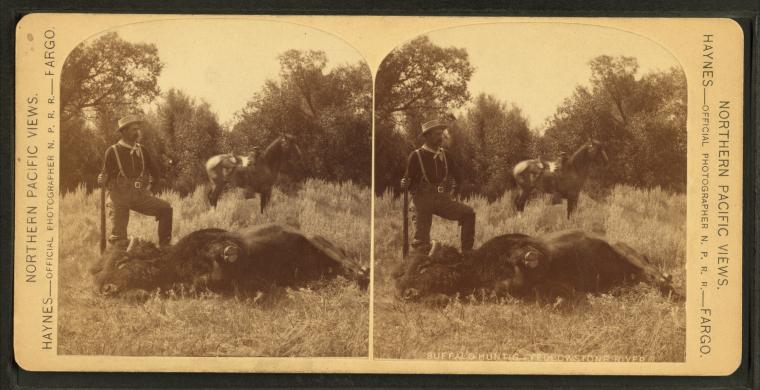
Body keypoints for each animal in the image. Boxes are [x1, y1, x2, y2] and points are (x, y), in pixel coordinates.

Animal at [89, 222, 368, 298]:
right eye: (100, 270)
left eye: (123, 262)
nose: (105, 289)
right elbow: (206, 282)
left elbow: (222, 249)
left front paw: (228, 252)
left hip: (319, 242)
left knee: (350, 264)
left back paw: (362, 275)